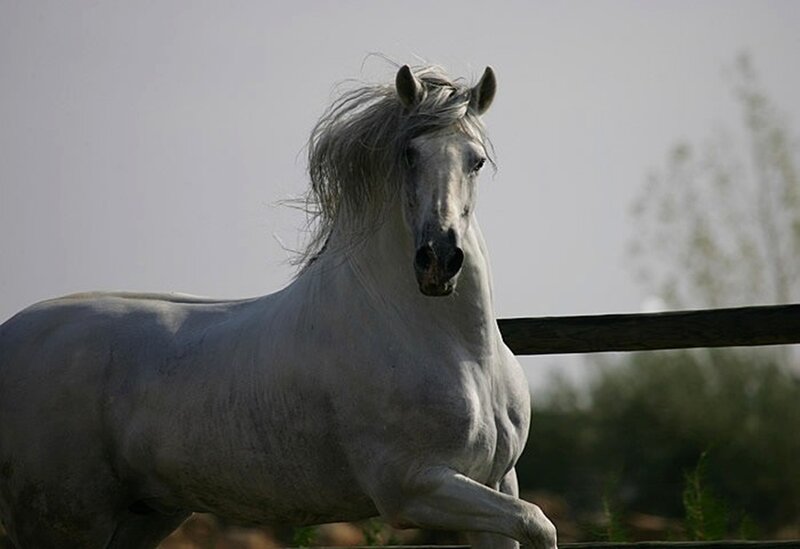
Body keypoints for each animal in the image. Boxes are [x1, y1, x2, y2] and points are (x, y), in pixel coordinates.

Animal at [0, 64, 558, 549]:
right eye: (409, 154)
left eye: (475, 160)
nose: (439, 261)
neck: (458, 351)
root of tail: (11, 334)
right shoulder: (414, 487)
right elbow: (537, 521)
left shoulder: (496, 481)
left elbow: (531, 521)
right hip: (67, 520)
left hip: (144, 516)